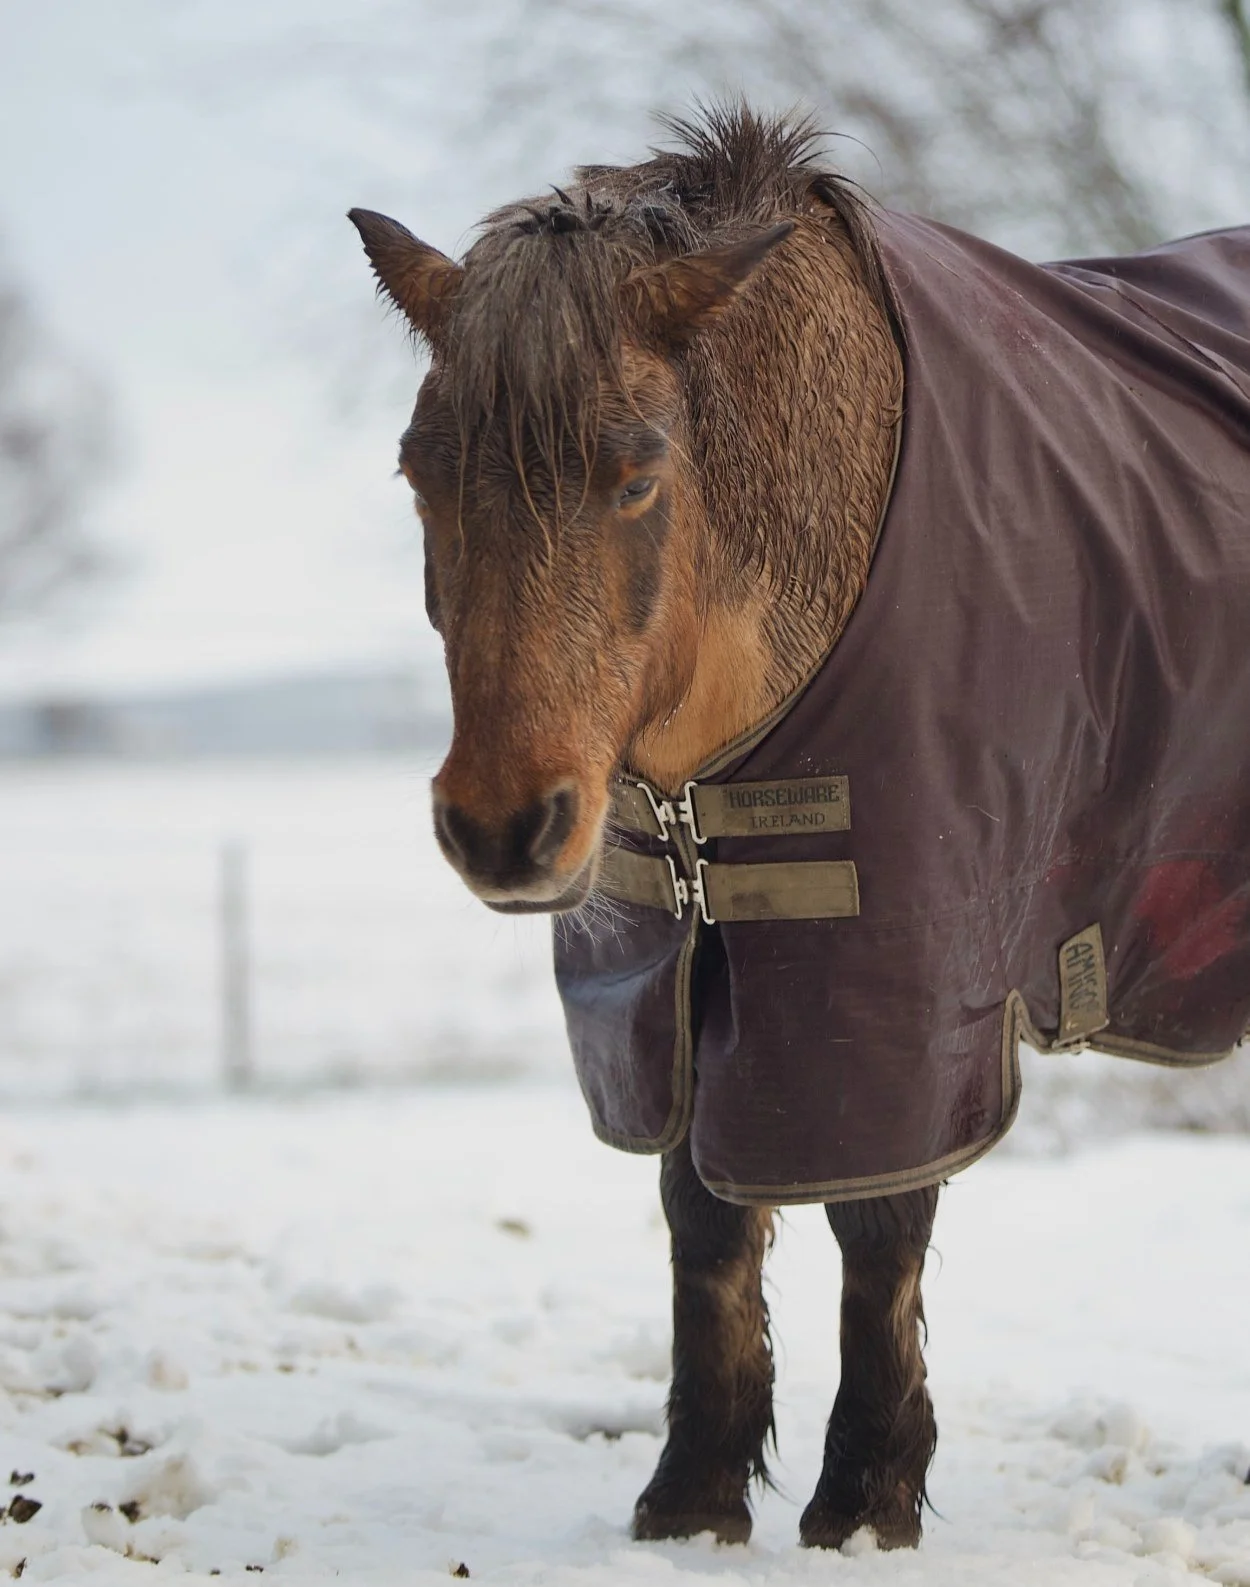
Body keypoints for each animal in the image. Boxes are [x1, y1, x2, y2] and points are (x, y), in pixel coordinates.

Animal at [349, 104, 1250, 1550]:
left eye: (635, 474)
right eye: (417, 472)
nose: (502, 826)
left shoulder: (902, 976)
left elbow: (878, 1226)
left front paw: (866, 1496)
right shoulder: (671, 969)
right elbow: (703, 1214)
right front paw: (692, 1493)